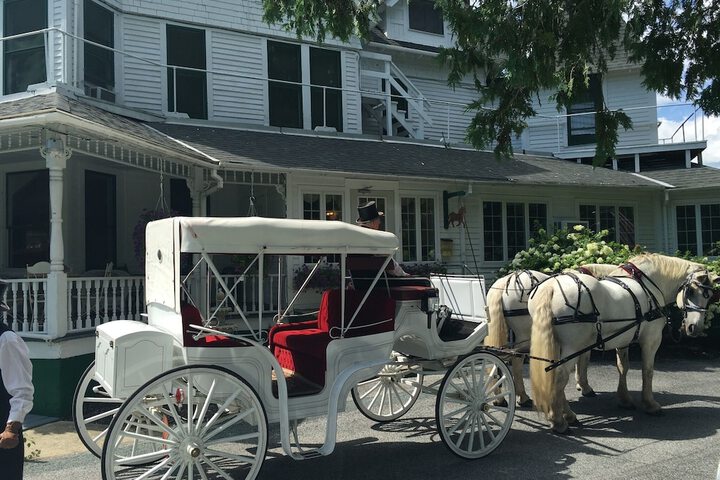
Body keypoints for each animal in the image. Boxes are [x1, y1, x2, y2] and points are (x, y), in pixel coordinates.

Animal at [484, 264, 612, 406]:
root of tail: (505, 282)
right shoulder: (584, 339)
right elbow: (583, 361)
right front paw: (585, 387)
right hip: (523, 335)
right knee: (516, 360)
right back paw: (522, 397)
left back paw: (499, 398)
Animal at [524, 253, 716, 434]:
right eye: (691, 292)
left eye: (709, 297)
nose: (694, 328)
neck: (648, 285)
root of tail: (551, 287)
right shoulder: (651, 339)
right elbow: (648, 371)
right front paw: (650, 404)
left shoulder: (623, 339)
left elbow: (623, 367)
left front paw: (624, 399)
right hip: (572, 347)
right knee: (559, 377)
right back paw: (559, 421)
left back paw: (567, 416)